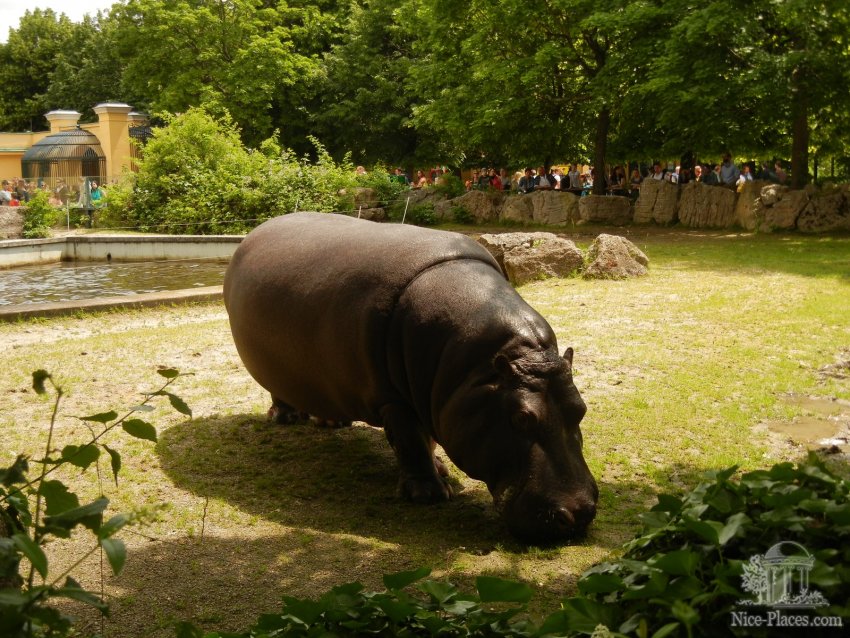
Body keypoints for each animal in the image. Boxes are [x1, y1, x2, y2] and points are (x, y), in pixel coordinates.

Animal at [225, 212, 596, 544]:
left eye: (581, 409)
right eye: (520, 417)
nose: (579, 514)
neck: (479, 368)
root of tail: (255, 232)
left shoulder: (431, 394)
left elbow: (426, 439)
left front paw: (441, 470)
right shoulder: (396, 400)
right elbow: (410, 441)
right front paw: (429, 494)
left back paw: (333, 422)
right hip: (272, 371)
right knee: (278, 391)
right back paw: (285, 418)